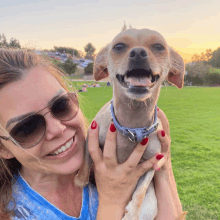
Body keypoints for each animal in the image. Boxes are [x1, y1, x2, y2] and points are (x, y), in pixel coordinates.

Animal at [75, 28, 185, 219]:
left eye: (159, 47)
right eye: (118, 47)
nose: (138, 52)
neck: (132, 126)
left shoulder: (153, 163)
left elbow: (141, 190)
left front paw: (133, 212)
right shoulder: (91, 139)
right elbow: (85, 162)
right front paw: (80, 180)